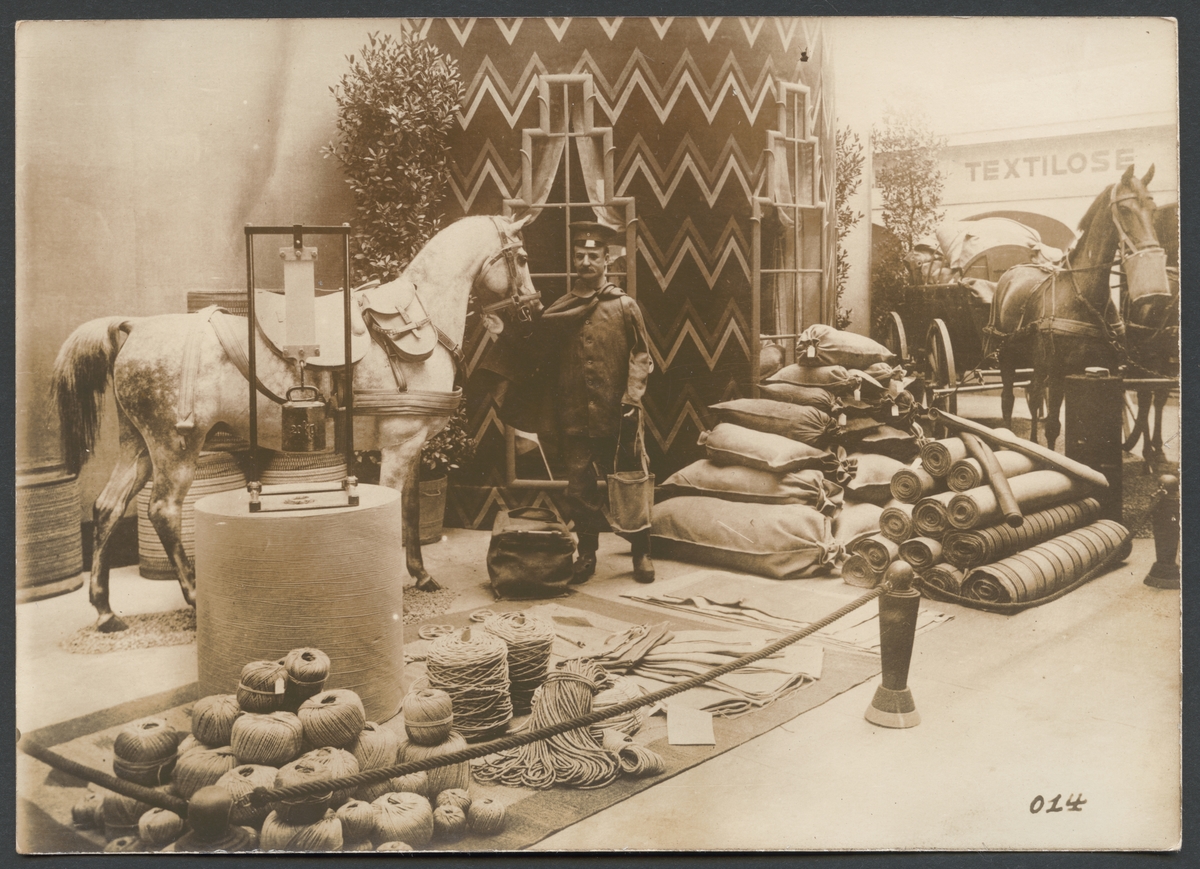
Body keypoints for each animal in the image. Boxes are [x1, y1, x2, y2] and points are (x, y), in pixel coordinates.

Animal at [51, 214, 535, 632]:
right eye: (523, 257)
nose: (534, 304)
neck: (420, 318)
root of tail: (134, 327)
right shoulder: (401, 445)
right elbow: (398, 508)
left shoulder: (410, 448)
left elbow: (413, 510)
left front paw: (421, 575)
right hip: (176, 448)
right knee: (162, 510)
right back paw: (192, 595)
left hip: (139, 446)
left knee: (108, 508)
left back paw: (105, 611)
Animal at [984, 164, 1166, 449]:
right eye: (1125, 209)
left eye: (1153, 209)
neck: (1085, 297)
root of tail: (1010, 272)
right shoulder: (1058, 371)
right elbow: (1053, 427)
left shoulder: (1106, 370)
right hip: (1008, 356)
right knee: (1008, 399)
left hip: (1037, 361)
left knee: (1034, 393)